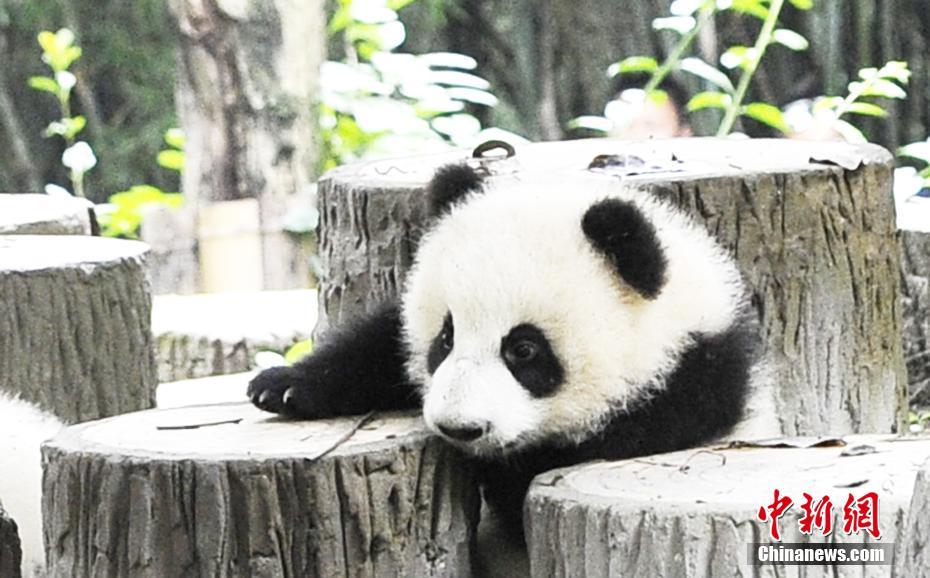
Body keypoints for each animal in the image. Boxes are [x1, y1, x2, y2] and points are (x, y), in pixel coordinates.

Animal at [247, 162, 772, 563]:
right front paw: (283, 386)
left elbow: (528, 486)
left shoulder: (690, 391)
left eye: (523, 350)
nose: (459, 428)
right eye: (446, 337)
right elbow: (378, 344)